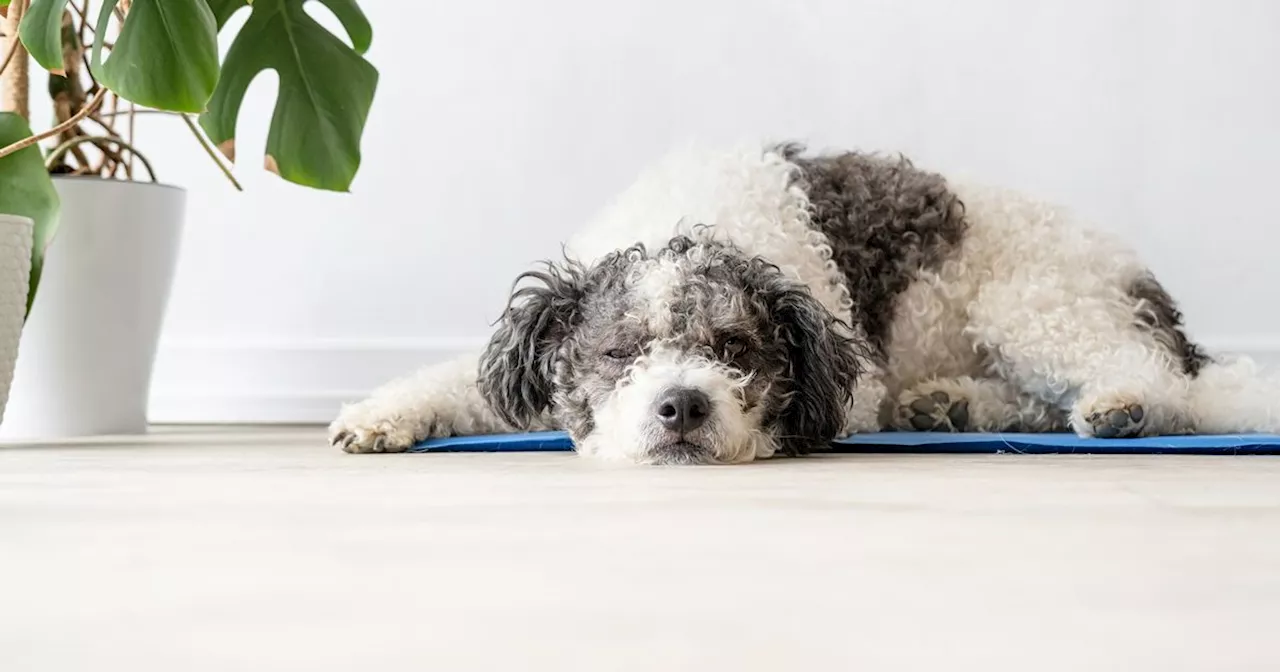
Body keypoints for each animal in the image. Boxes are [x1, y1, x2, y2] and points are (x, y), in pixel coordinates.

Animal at [330, 141, 1280, 463]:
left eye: (736, 351)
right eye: (620, 354)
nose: (682, 406)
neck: (691, 218)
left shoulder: (849, 375)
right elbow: (464, 380)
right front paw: (382, 415)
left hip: (1036, 303)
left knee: (1156, 381)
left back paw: (1124, 406)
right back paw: (948, 405)